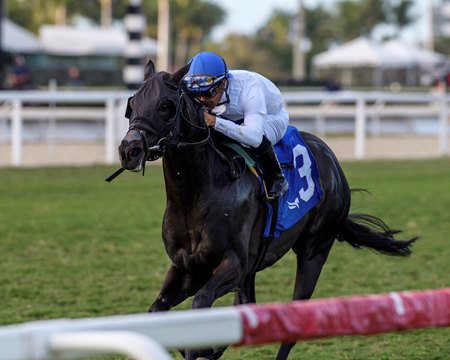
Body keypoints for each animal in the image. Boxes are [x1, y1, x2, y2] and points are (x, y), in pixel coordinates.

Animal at [117, 60, 418, 358]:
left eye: (164, 105)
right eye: (132, 103)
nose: (129, 150)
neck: (197, 195)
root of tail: (332, 160)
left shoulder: (234, 264)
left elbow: (201, 305)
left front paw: (202, 346)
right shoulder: (188, 268)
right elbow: (157, 310)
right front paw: (203, 347)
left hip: (314, 251)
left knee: (292, 322)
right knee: (247, 307)